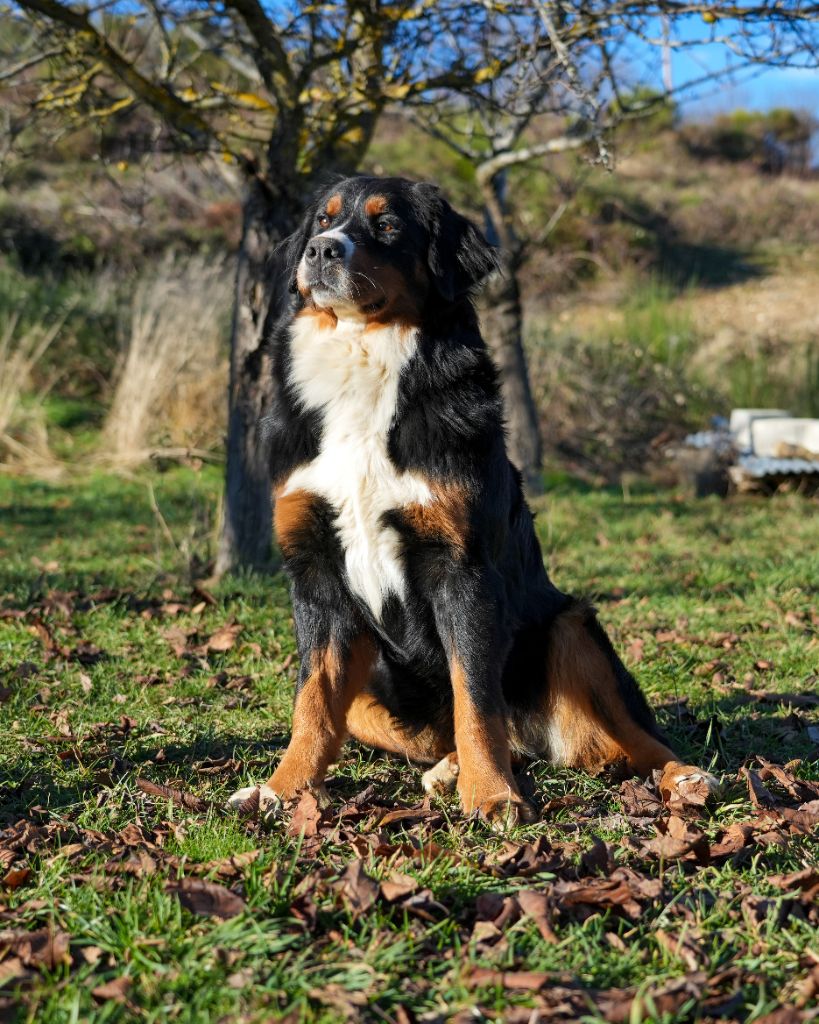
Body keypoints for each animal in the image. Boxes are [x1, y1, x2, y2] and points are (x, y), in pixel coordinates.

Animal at [224, 172, 716, 819]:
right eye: (322, 220)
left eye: (387, 225)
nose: (321, 250)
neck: (365, 362)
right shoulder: (315, 570)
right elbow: (312, 699)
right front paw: (284, 789)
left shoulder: (462, 569)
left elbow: (476, 696)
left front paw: (492, 795)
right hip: (373, 688)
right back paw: (447, 769)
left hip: (571, 624)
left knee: (631, 738)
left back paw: (684, 778)